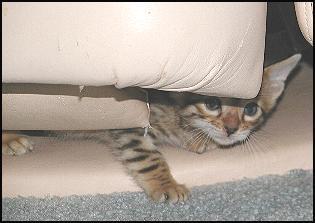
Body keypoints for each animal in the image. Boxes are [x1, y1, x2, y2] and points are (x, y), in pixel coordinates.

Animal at [3, 53, 304, 202]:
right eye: (212, 103)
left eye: (251, 109)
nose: (231, 129)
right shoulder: (129, 125)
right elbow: (148, 157)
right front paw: (166, 184)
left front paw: (198, 139)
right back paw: (11, 139)